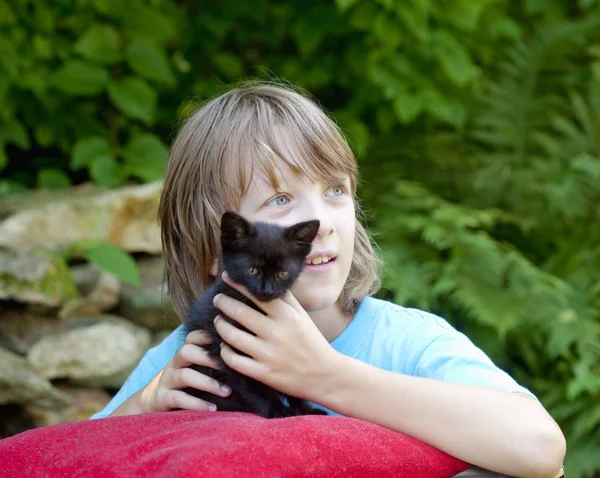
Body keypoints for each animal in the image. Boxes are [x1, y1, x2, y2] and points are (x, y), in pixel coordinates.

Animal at [188, 212, 328, 418]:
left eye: (282, 273)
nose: (267, 290)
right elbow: (254, 386)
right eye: (252, 270)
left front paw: (307, 410)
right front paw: (278, 411)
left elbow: (293, 383)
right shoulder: (230, 351)